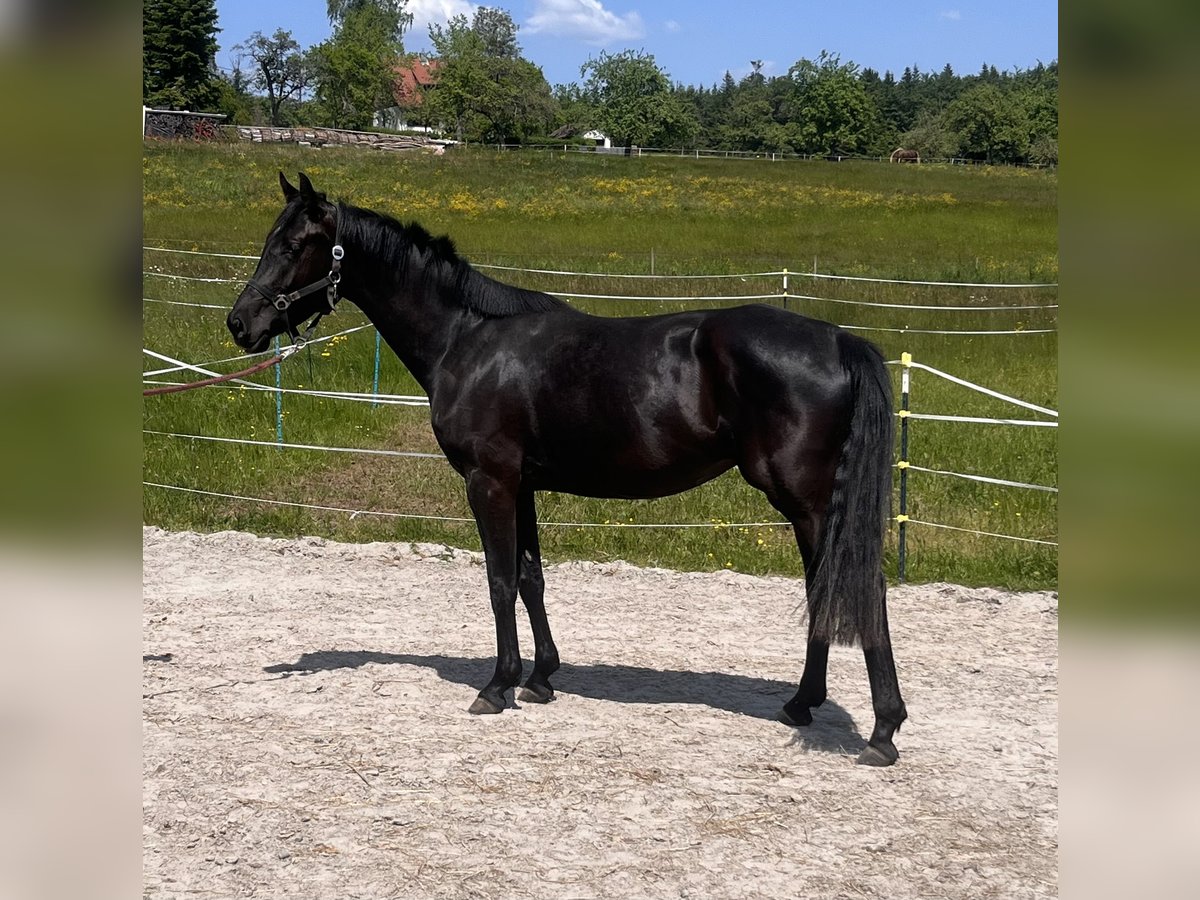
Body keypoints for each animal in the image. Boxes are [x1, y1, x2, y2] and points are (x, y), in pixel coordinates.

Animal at [225, 172, 907, 763]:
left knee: (857, 588)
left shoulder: (489, 483)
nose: (240, 323)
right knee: (827, 589)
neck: (467, 340)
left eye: (293, 246)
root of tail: (838, 340)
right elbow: (531, 578)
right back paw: (803, 704)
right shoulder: (521, 484)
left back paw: (882, 729)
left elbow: (499, 581)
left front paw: (497, 685)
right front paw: (540, 678)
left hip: (808, 501)